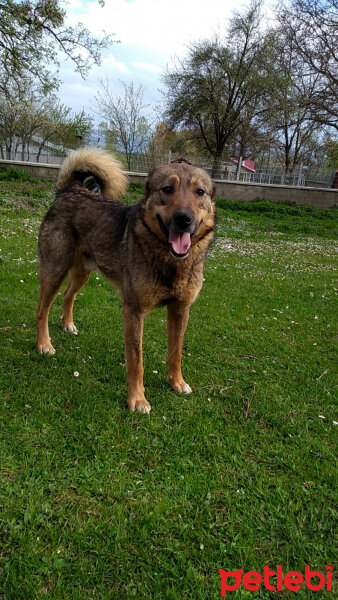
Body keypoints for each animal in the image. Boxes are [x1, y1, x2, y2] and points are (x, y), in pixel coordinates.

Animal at [36, 149, 217, 412]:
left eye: (200, 192)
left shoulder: (180, 311)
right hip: (55, 270)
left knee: (69, 295)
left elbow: (176, 353)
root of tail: (70, 190)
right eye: (167, 189)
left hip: (82, 274)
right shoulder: (133, 312)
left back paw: (67, 324)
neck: (170, 261)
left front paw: (176, 382)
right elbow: (136, 361)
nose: (184, 219)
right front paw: (137, 399)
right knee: (42, 309)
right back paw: (43, 345)